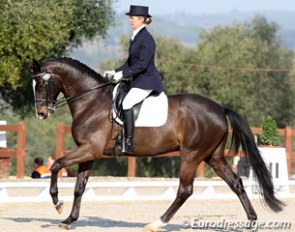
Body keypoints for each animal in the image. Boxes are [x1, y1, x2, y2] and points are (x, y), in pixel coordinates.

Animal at [30, 57, 284, 231]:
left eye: (42, 84)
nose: (42, 113)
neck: (90, 101)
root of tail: (220, 109)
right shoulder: (89, 153)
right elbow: (79, 187)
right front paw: (69, 219)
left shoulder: (89, 149)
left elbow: (57, 164)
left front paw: (57, 202)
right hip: (213, 156)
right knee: (236, 183)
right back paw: (252, 221)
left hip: (192, 154)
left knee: (185, 190)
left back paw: (157, 222)